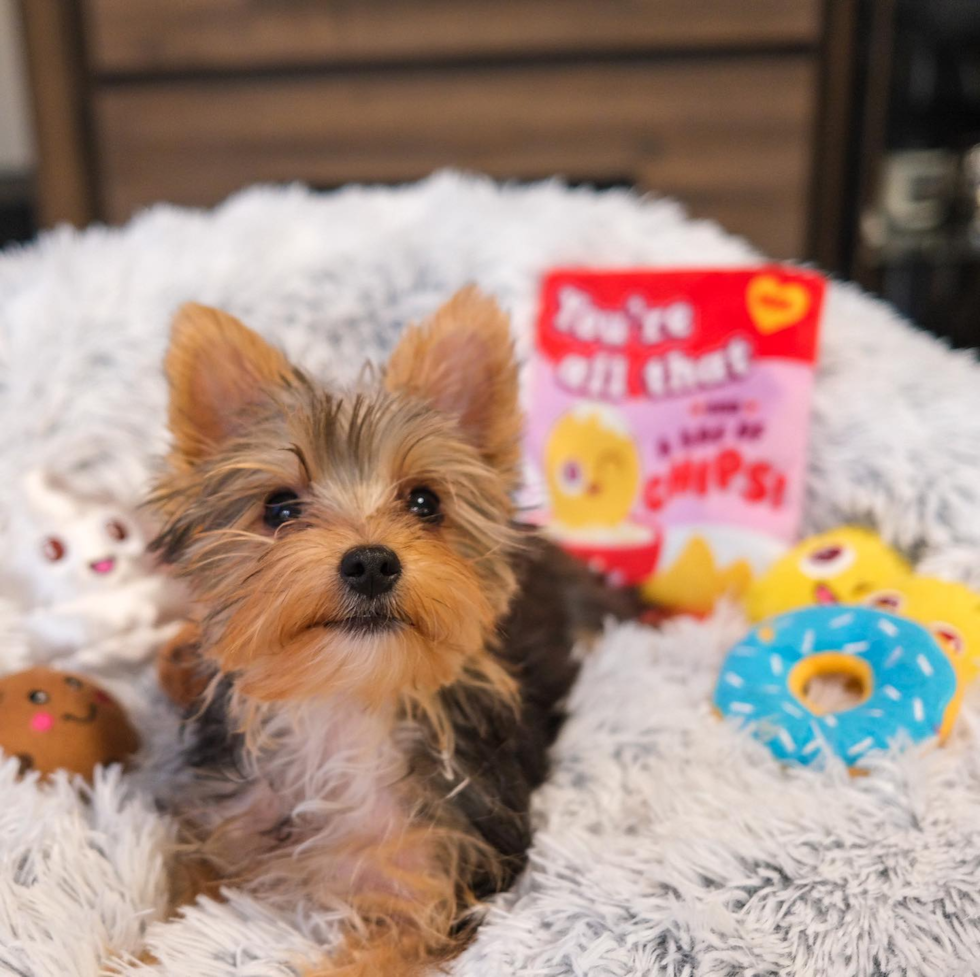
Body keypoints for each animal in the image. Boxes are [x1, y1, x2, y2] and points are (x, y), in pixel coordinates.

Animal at [149, 290, 632, 976]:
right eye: (278, 508)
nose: (371, 562)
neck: (347, 706)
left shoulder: (426, 884)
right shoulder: (220, 828)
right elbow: (177, 919)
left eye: (425, 502)